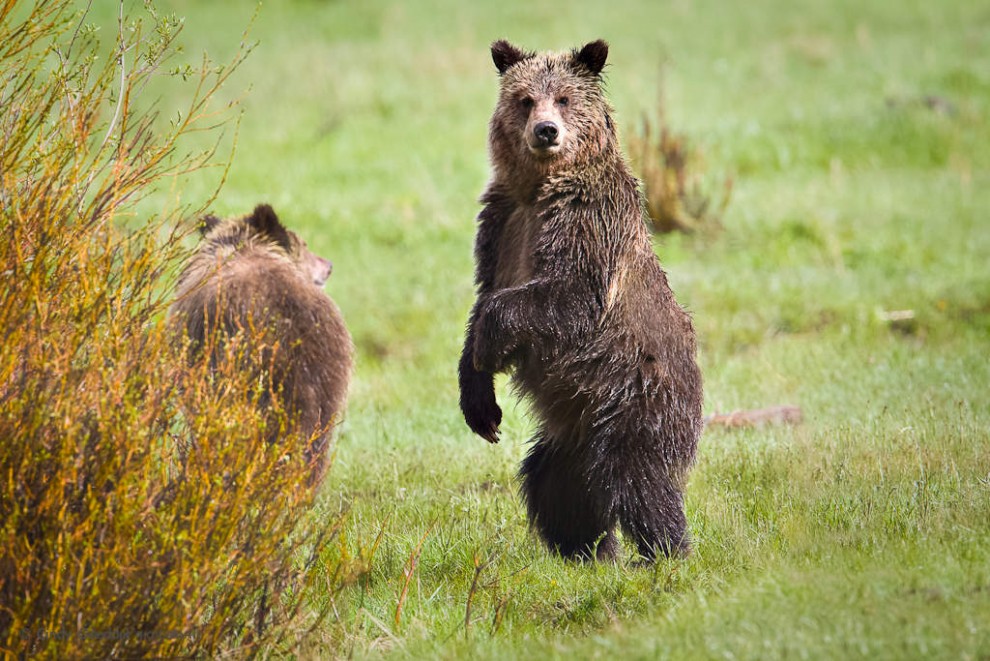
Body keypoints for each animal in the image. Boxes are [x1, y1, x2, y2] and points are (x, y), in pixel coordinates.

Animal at [460, 38, 704, 560]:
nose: (546, 131)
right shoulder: (501, 223)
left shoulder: (586, 219)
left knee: (637, 477)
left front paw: (490, 346)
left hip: (635, 393)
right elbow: (482, 295)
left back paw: (665, 551)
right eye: (525, 99)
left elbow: (570, 294)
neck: (540, 188)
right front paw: (480, 405)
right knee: (554, 483)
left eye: (566, 98)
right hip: (572, 430)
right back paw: (589, 549)